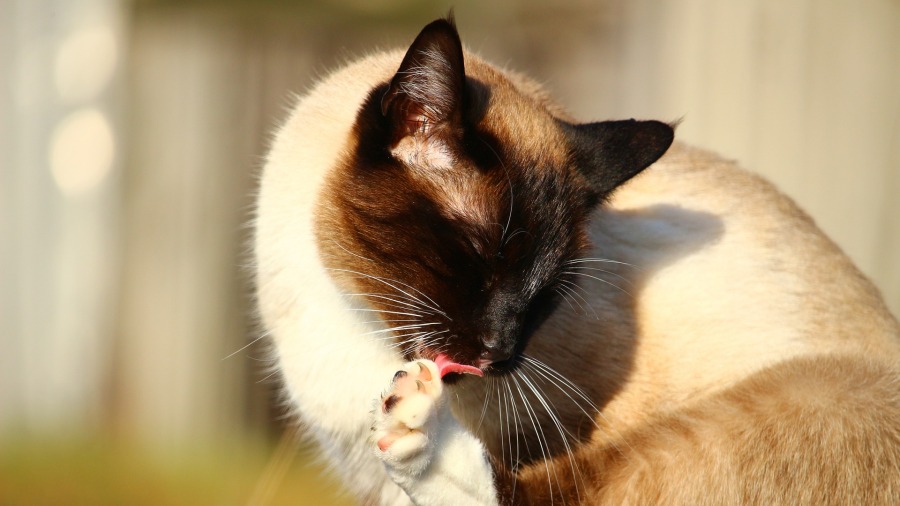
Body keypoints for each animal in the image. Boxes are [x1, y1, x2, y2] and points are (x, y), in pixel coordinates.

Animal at [253, 16, 900, 506]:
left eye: (546, 294)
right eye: (479, 259)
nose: (499, 352)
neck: (352, 320)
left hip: (832, 390)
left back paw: (418, 435)